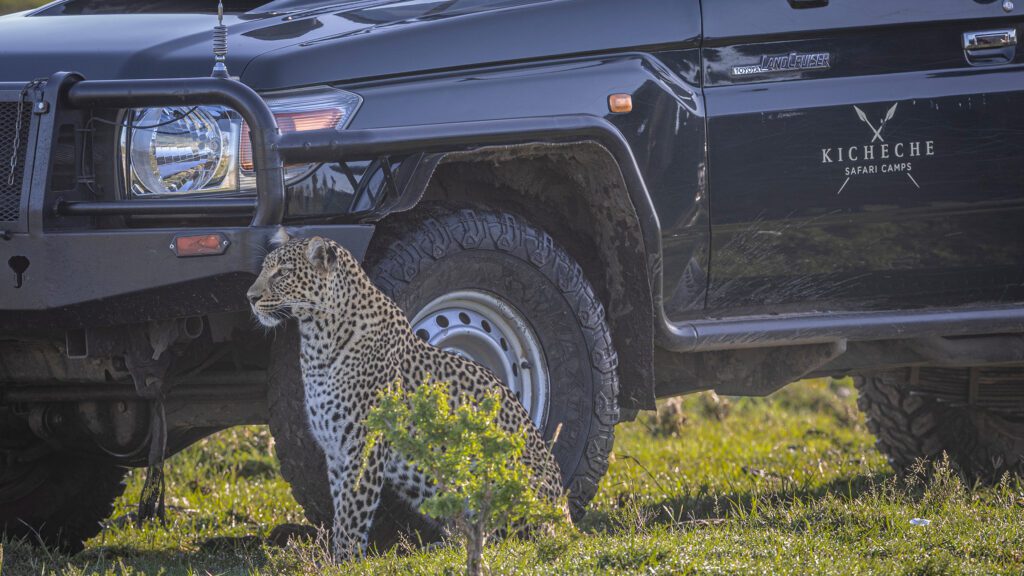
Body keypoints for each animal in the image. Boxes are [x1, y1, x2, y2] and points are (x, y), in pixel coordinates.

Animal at [246, 231, 568, 560]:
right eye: (266, 268)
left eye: (282, 272)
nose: (250, 297)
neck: (317, 340)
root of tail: (565, 519)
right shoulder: (334, 449)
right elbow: (340, 508)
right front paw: (337, 556)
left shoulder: (362, 445)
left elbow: (353, 510)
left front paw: (346, 560)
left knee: (515, 539)